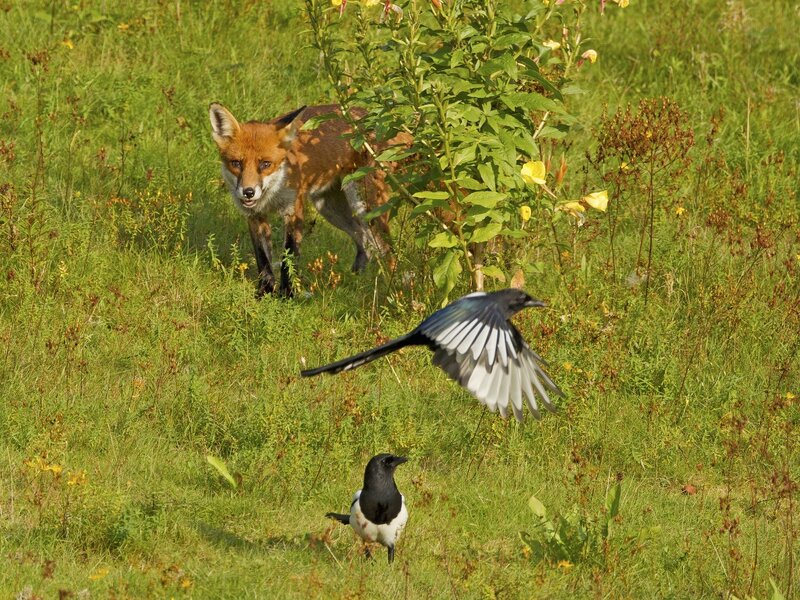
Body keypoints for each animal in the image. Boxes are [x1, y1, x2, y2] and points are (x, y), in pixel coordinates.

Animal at [209, 103, 396, 297]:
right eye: (236, 163)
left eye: (265, 164)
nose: (248, 192)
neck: (272, 193)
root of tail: (369, 115)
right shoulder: (255, 216)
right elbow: (263, 258)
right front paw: (265, 291)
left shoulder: (293, 210)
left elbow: (289, 256)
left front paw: (287, 294)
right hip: (330, 209)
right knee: (364, 242)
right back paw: (355, 278)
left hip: (365, 209)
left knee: (388, 249)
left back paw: (392, 288)